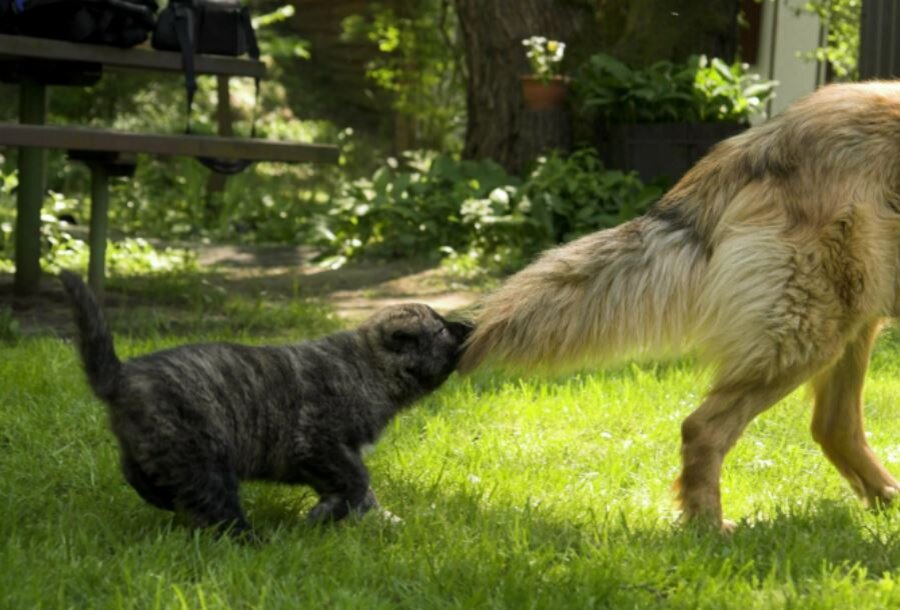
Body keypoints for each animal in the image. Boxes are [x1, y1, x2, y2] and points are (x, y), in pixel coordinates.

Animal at [59, 270, 474, 536]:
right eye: (440, 329)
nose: (468, 327)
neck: (368, 367)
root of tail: (120, 376)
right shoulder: (321, 444)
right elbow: (358, 482)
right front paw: (324, 516)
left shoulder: (336, 455)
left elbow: (362, 492)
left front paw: (382, 520)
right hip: (204, 458)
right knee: (217, 508)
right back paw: (253, 541)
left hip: (151, 447)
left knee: (140, 477)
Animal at [460, 79, 900, 528]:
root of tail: (765, 141)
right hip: (808, 333)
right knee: (703, 428)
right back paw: (707, 525)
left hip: (846, 321)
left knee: (833, 426)